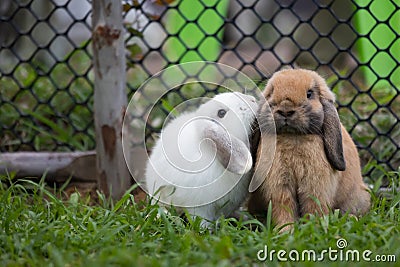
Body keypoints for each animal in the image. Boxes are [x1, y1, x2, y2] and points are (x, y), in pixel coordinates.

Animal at [248, 68, 370, 231]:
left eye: (310, 93)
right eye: (272, 92)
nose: (285, 110)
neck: (293, 137)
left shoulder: (315, 187)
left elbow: (314, 207)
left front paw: (314, 228)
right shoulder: (280, 186)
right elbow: (284, 207)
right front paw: (286, 230)